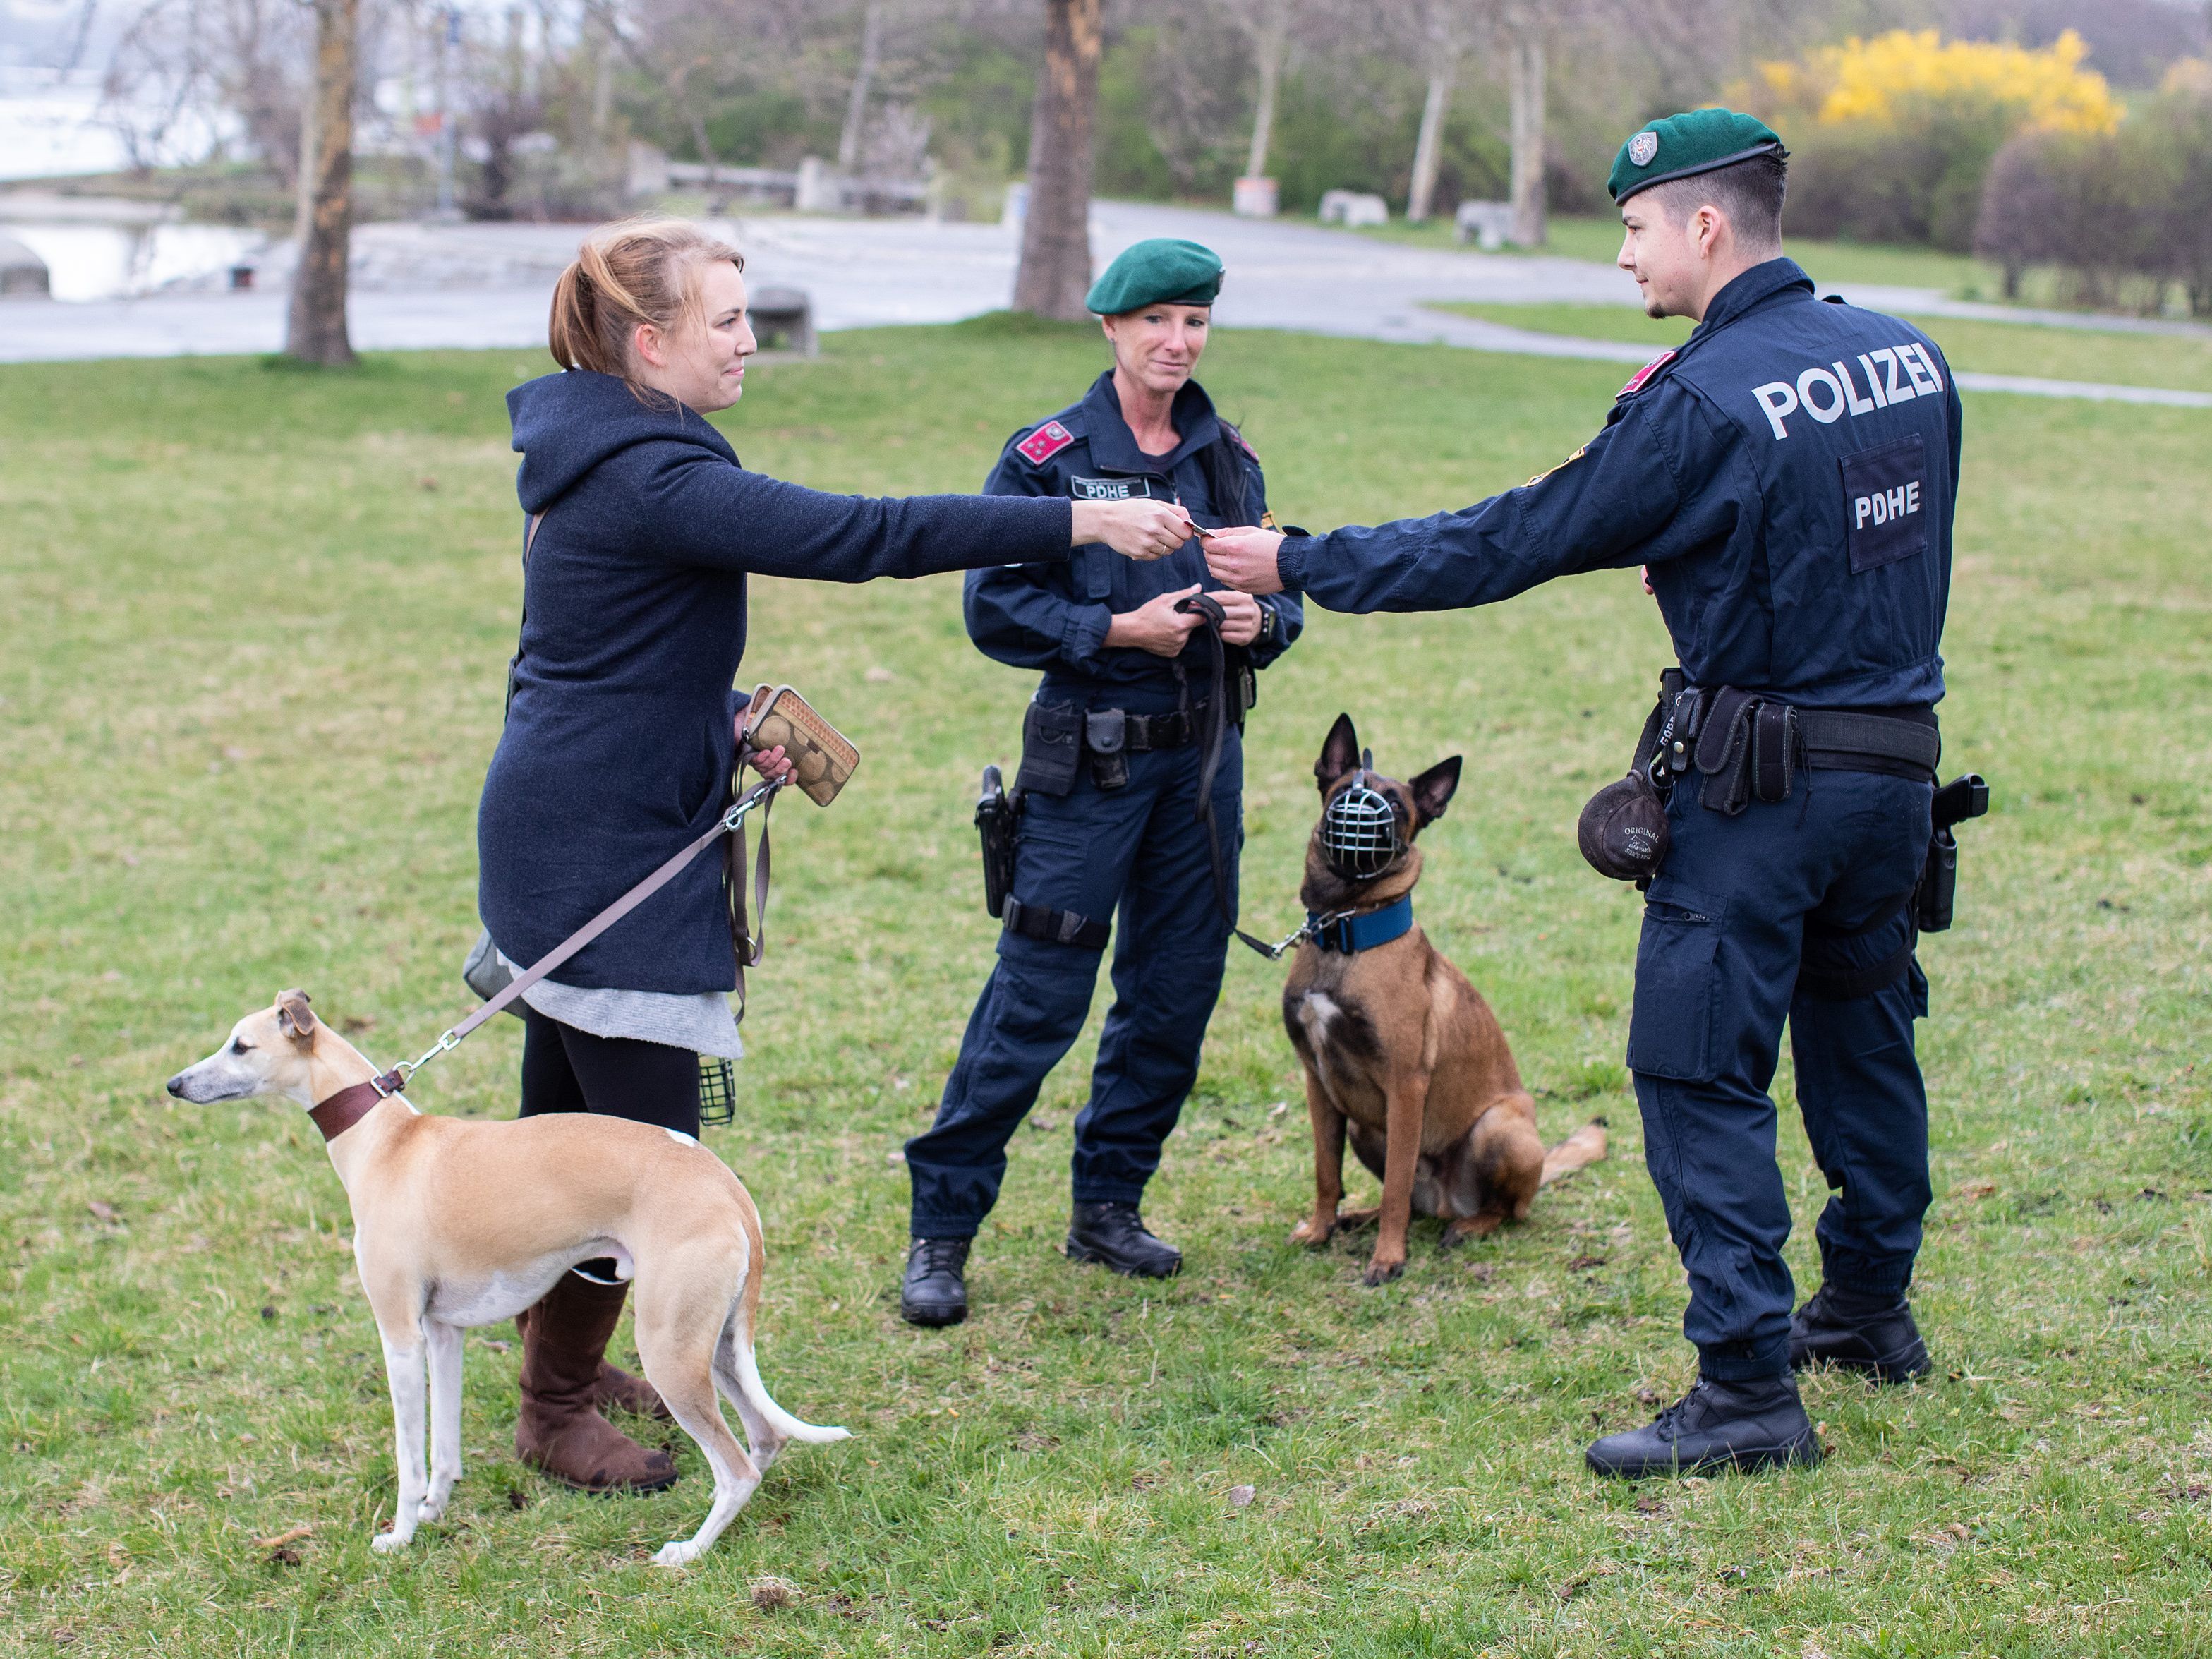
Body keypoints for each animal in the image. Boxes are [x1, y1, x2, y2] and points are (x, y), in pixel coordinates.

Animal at [166, 995, 845, 1566]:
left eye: (240, 1046)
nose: (174, 1084)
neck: (386, 1141)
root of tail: (728, 1187)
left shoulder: (400, 1335)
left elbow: (410, 1456)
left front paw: (399, 1535)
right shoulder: (442, 1330)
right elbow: (443, 1446)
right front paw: (435, 1511)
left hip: (669, 1348)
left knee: (735, 1468)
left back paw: (687, 1552)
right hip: (718, 1342)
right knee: (764, 1438)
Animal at [1283, 716, 1610, 1283]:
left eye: (1397, 806)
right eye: (1343, 790)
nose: (1357, 812)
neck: (1345, 933)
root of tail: (1446, 1200)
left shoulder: (1405, 1086)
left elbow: (1395, 1185)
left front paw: (1388, 1259)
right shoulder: (1318, 1084)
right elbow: (1327, 1172)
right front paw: (1320, 1230)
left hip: (1498, 1130)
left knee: (1507, 1210)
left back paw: (1469, 1225)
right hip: (1365, 1127)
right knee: (1412, 1203)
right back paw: (1360, 1217)